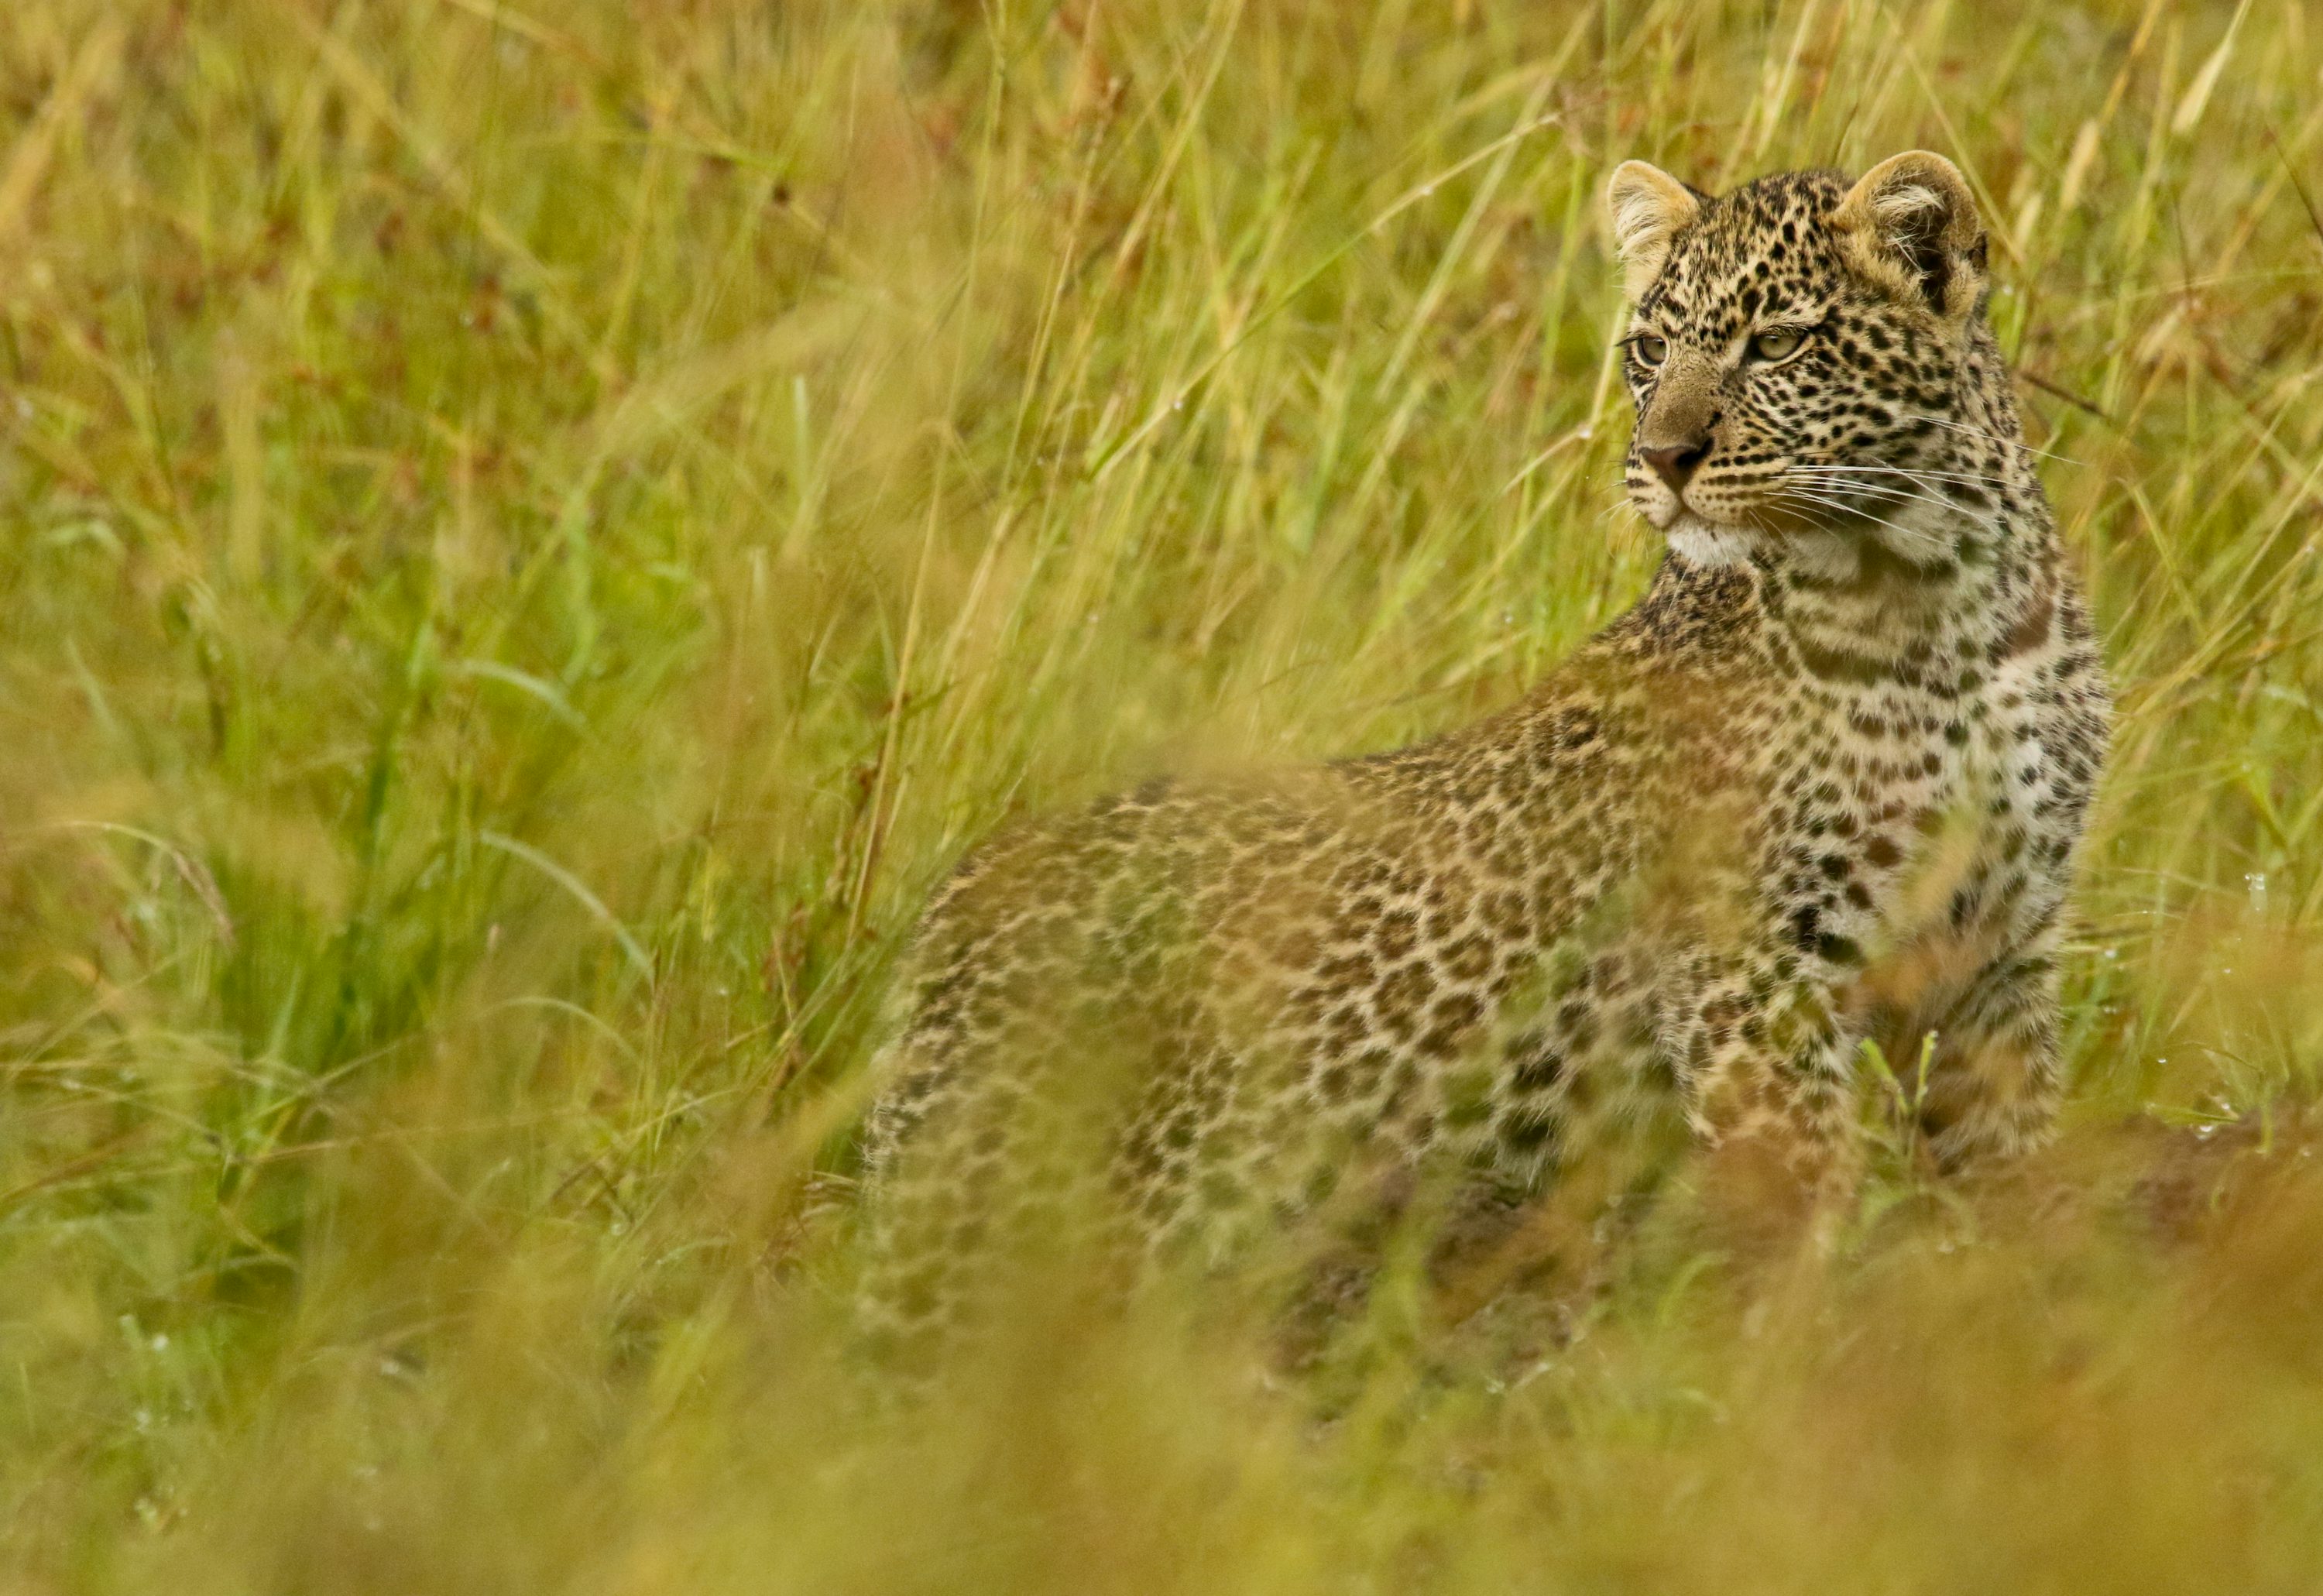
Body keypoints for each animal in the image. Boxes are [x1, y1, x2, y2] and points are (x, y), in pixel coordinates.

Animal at [850, 149, 2109, 1357]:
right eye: (1649, 349)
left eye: (1779, 344)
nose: (1665, 455)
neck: (1942, 611)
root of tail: (950, 914)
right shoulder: (1753, 977)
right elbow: (1806, 1201)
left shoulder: (2002, 954)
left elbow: (2009, 1171)